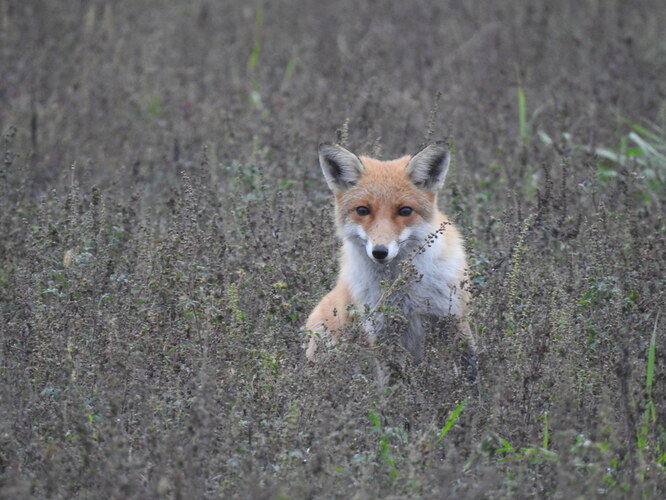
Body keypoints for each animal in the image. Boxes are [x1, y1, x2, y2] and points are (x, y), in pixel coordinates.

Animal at [304, 139, 474, 366]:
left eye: (405, 211)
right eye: (362, 210)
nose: (380, 252)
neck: (405, 294)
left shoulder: (454, 318)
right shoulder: (380, 333)